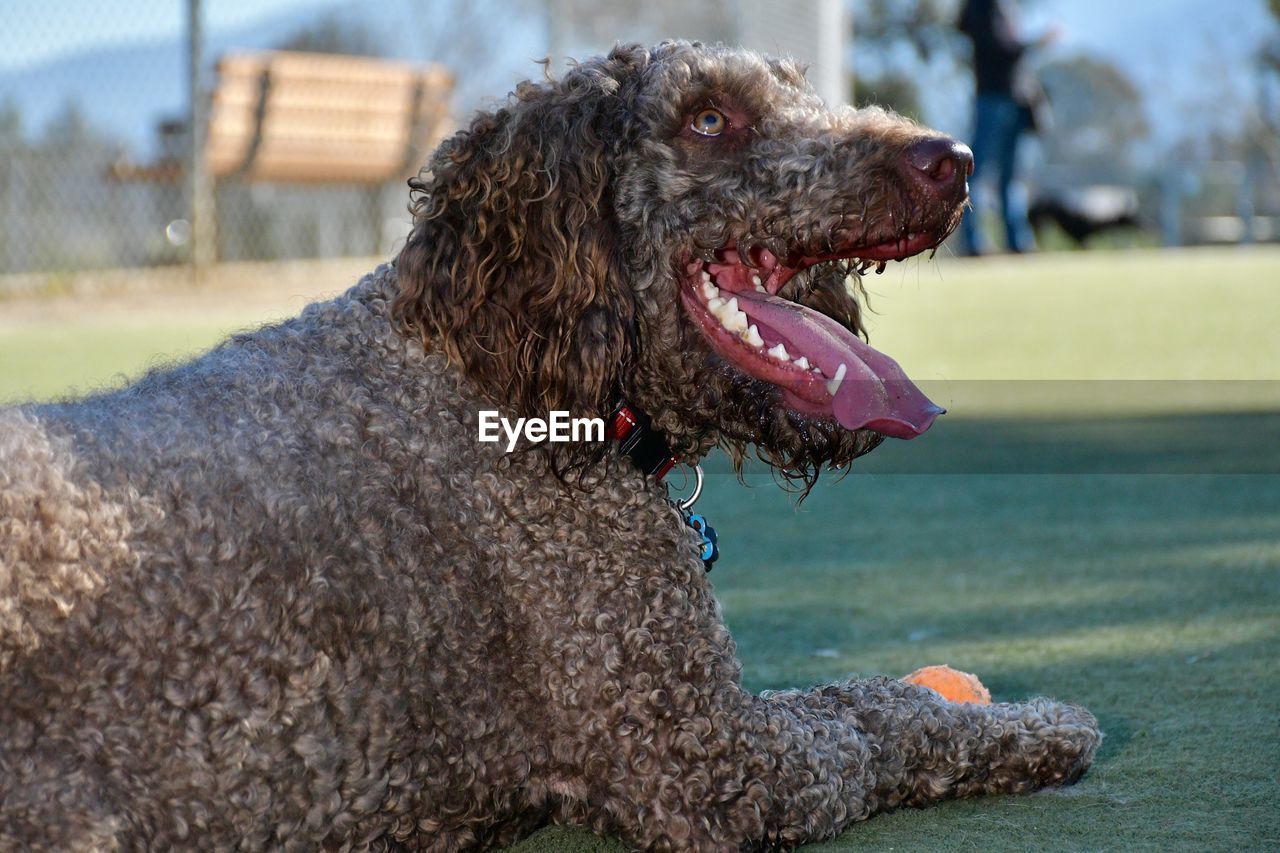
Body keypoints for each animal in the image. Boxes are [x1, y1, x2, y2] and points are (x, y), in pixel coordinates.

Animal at [0, 43, 1100, 845]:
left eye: (800, 92)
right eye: (709, 119)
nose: (950, 160)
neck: (491, 363)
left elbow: (861, 700)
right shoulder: (704, 755)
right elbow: (875, 715)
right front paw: (1026, 724)